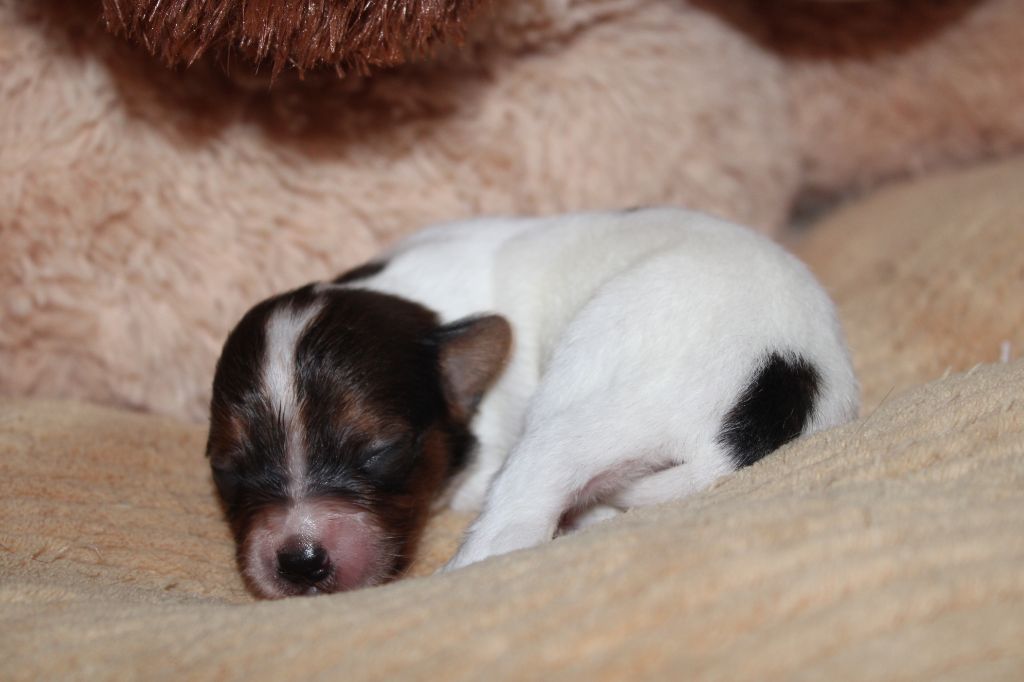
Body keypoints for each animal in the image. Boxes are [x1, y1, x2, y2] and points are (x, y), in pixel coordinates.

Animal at [206, 208, 859, 598]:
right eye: (228, 468)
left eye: (381, 451)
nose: (300, 560)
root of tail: (767, 399)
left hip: (583, 408)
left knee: (513, 527)